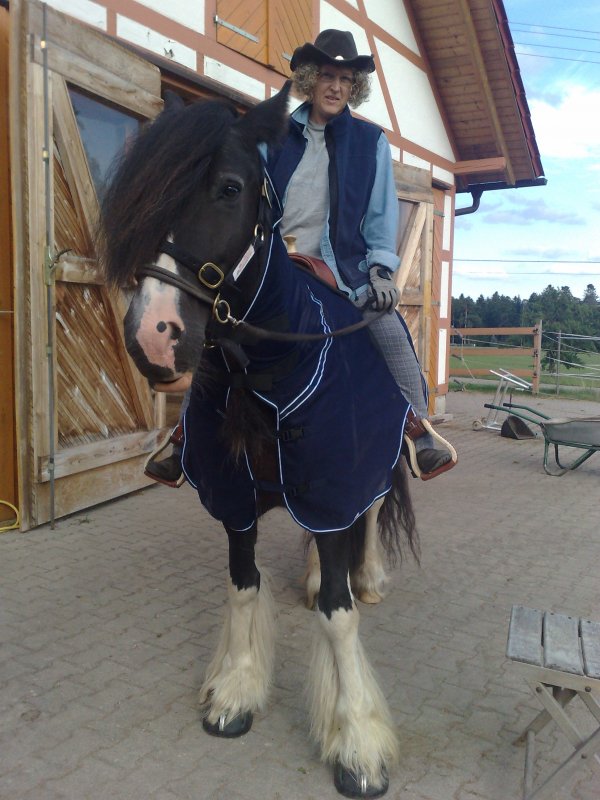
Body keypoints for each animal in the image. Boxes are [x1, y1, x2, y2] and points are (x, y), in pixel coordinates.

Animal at [99, 82, 419, 799]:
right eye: (141, 194)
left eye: (229, 187)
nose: (153, 337)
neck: (267, 366)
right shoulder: (234, 493)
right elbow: (244, 584)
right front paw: (237, 692)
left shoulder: (333, 477)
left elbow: (339, 612)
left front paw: (357, 742)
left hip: (372, 464)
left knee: (371, 511)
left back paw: (368, 575)